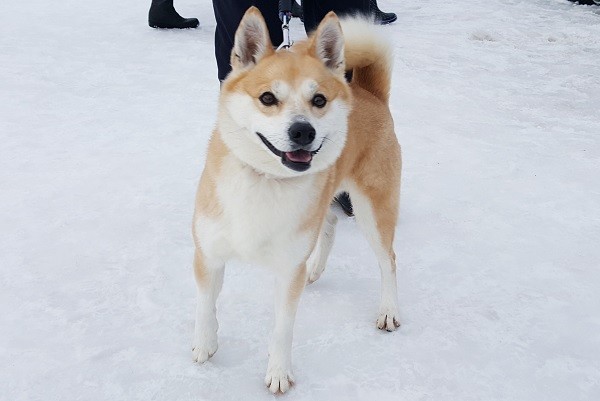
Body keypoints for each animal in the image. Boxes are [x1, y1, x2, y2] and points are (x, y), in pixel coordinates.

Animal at [190, 7, 400, 394]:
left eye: (318, 100)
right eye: (267, 98)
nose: (303, 131)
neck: (265, 179)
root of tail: (370, 93)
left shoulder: (288, 271)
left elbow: (282, 329)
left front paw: (278, 372)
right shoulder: (208, 253)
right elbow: (205, 305)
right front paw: (205, 344)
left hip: (373, 210)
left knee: (388, 261)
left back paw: (389, 309)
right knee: (329, 223)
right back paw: (315, 268)